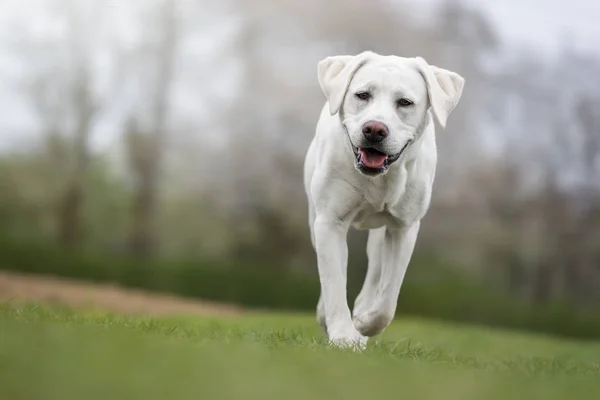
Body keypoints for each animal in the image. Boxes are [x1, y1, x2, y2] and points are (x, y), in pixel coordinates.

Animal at [304, 50, 464, 350]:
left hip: (380, 236)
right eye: (362, 95)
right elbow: (333, 280)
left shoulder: (404, 228)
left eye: (405, 102)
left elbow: (388, 297)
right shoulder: (329, 221)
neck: (380, 179)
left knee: (376, 270)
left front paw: (363, 323)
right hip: (314, 219)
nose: (375, 129)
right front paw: (343, 335)